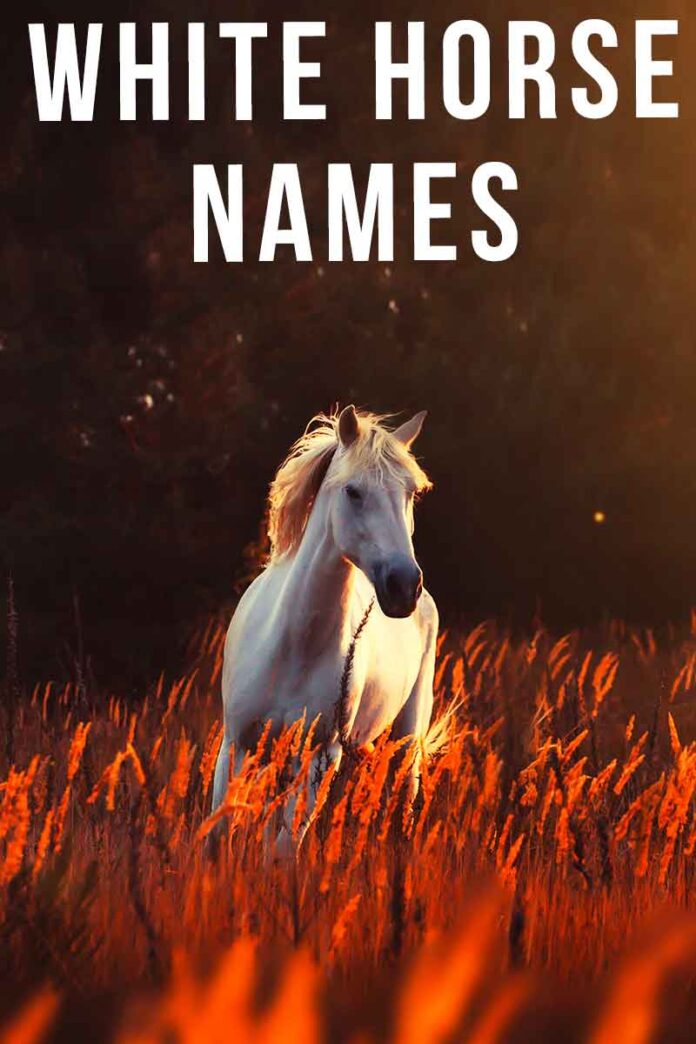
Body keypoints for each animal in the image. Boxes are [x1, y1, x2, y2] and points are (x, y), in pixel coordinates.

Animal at [210, 405, 438, 842]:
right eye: (353, 491)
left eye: (410, 493)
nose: (404, 586)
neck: (295, 644)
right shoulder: (236, 744)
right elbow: (217, 834)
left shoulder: (320, 757)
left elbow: (282, 848)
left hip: (407, 739)